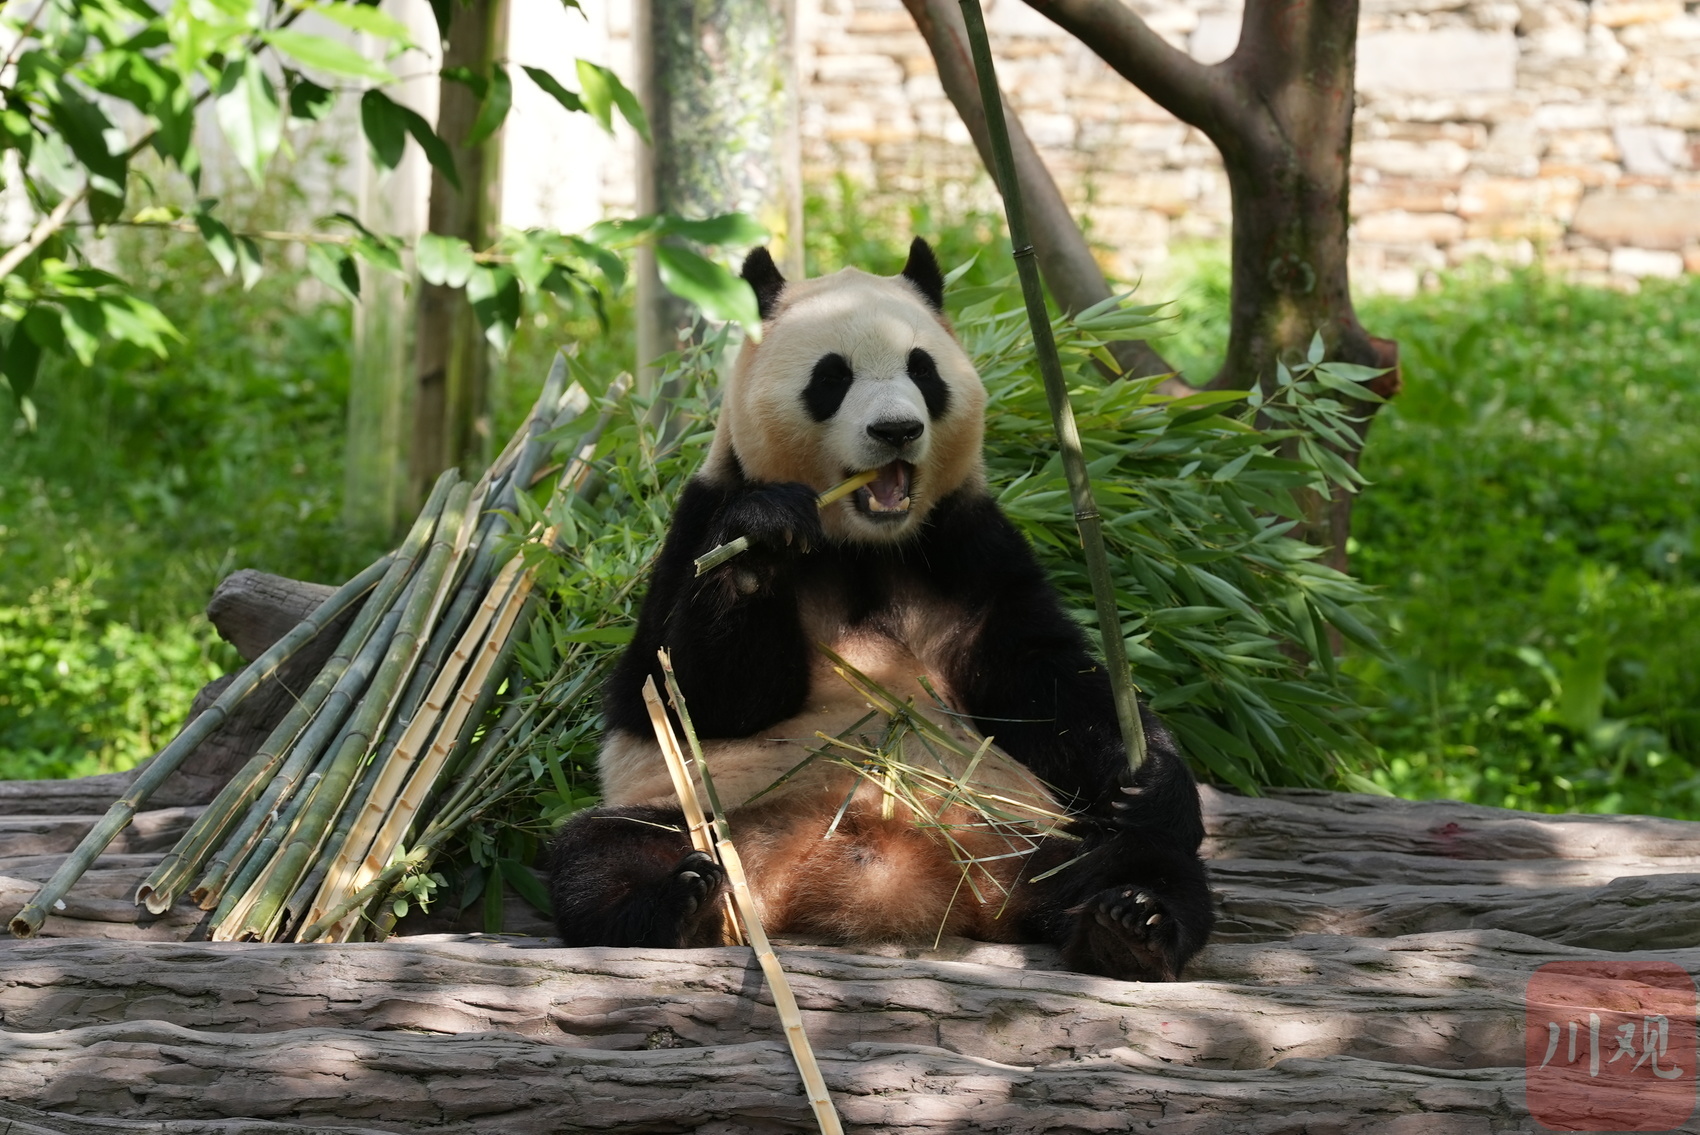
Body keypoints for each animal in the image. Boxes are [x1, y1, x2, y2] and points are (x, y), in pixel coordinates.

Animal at [550, 237, 1217, 978]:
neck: (863, 543)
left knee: (1134, 856)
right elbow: (692, 694)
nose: (897, 429)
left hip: (1025, 825)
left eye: (922, 370)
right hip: (704, 812)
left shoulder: (968, 548)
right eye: (831, 377)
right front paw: (766, 534)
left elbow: (1044, 683)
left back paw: (1130, 922)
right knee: (603, 852)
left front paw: (1151, 777)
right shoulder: (698, 525)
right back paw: (681, 899)